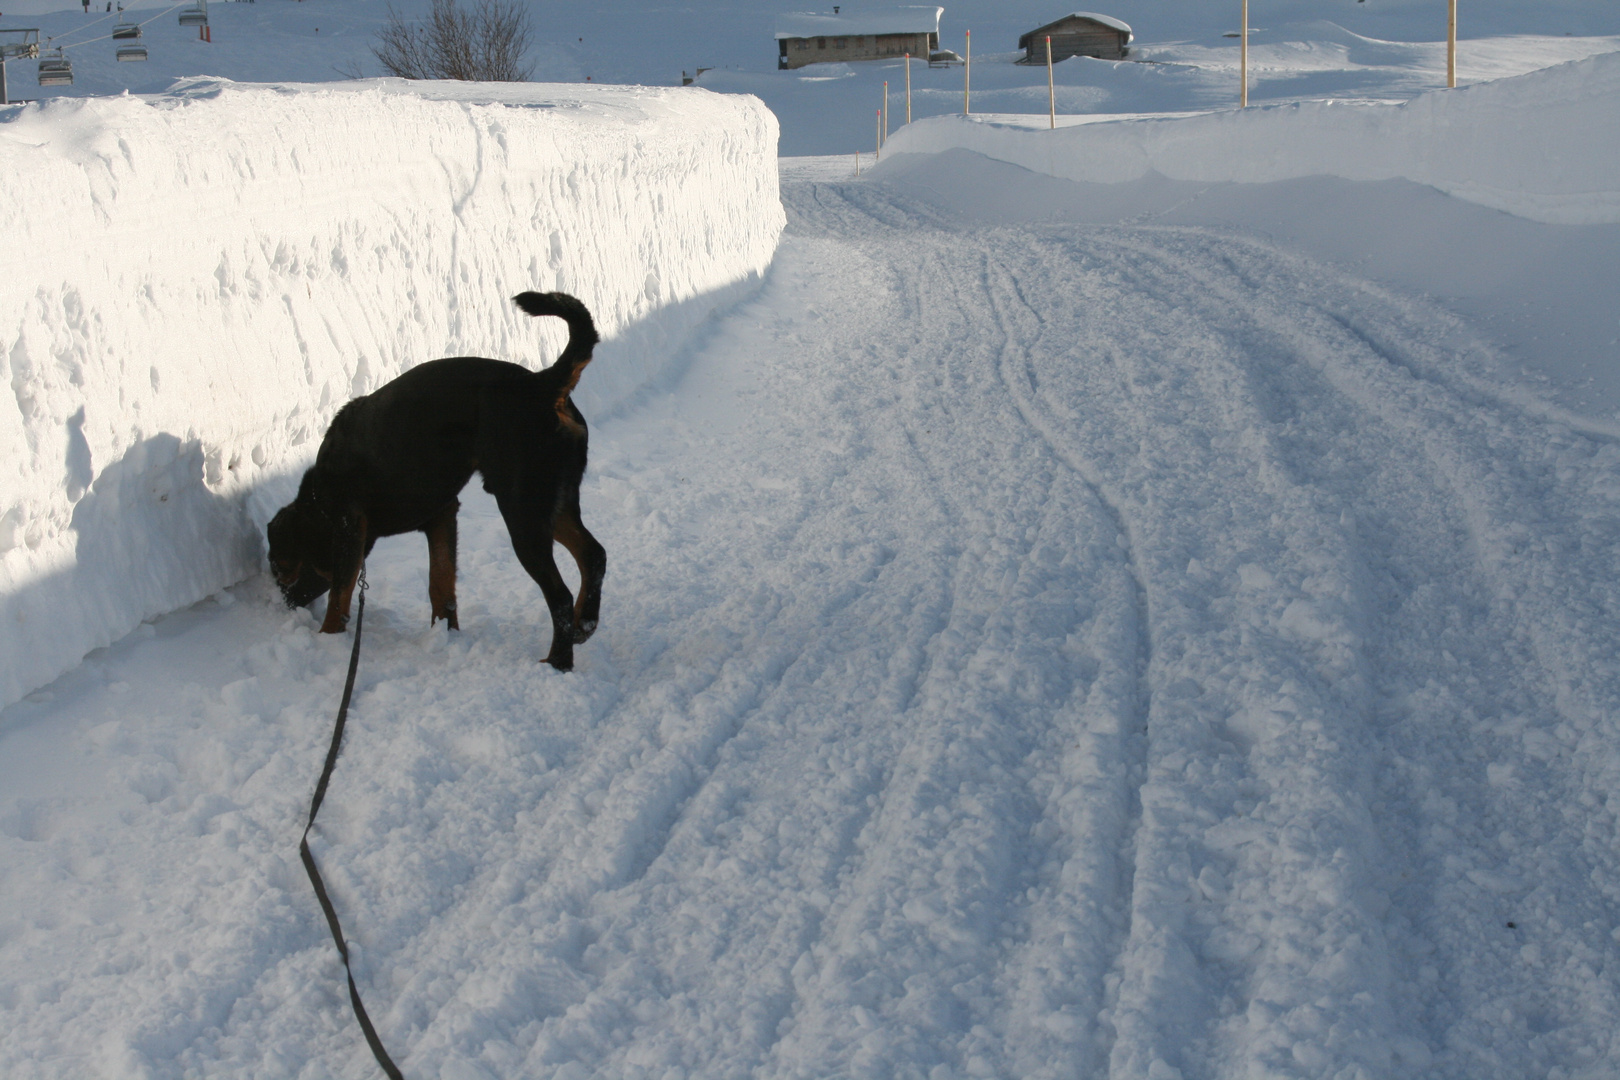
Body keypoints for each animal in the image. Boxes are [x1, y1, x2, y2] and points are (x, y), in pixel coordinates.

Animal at [267, 291, 609, 670]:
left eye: (279, 569)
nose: (284, 603)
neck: (318, 501)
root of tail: (542, 384)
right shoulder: (441, 515)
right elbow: (440, 585)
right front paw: (446, 635)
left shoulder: (348, 525)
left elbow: (339, 596)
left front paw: (327, 639)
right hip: (554, 501)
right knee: (593, 555)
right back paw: (584, 624)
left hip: (523, 511)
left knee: (560, 595)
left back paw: (558, 661)